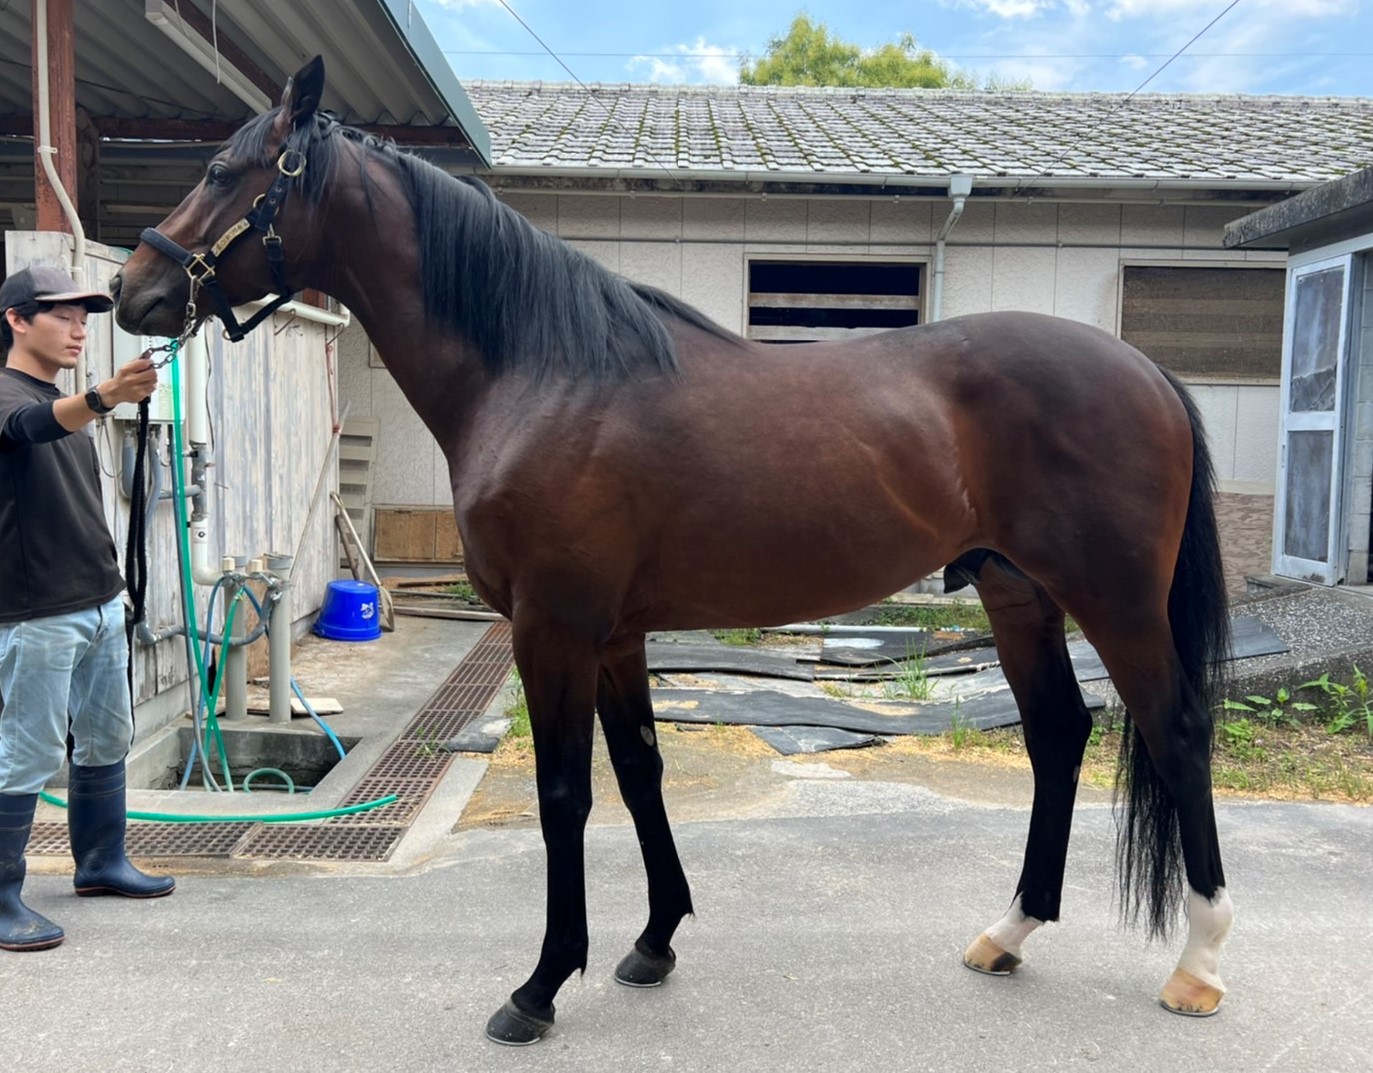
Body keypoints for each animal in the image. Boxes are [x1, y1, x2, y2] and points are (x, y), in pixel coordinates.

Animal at [112, 57, 1235, 1044]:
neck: (544, 372)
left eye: (226, 171)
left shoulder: (552, 627)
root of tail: (1146, 371)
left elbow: (565, 793)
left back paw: (1198, 962)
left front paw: (538, 985)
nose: (132, 292)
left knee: (1176, 731)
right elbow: (640, 772)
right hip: (1018, 594)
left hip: (1114, 598)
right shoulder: (615, 635)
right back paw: (1009, 931)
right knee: (1057, 735)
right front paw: (652, 941)